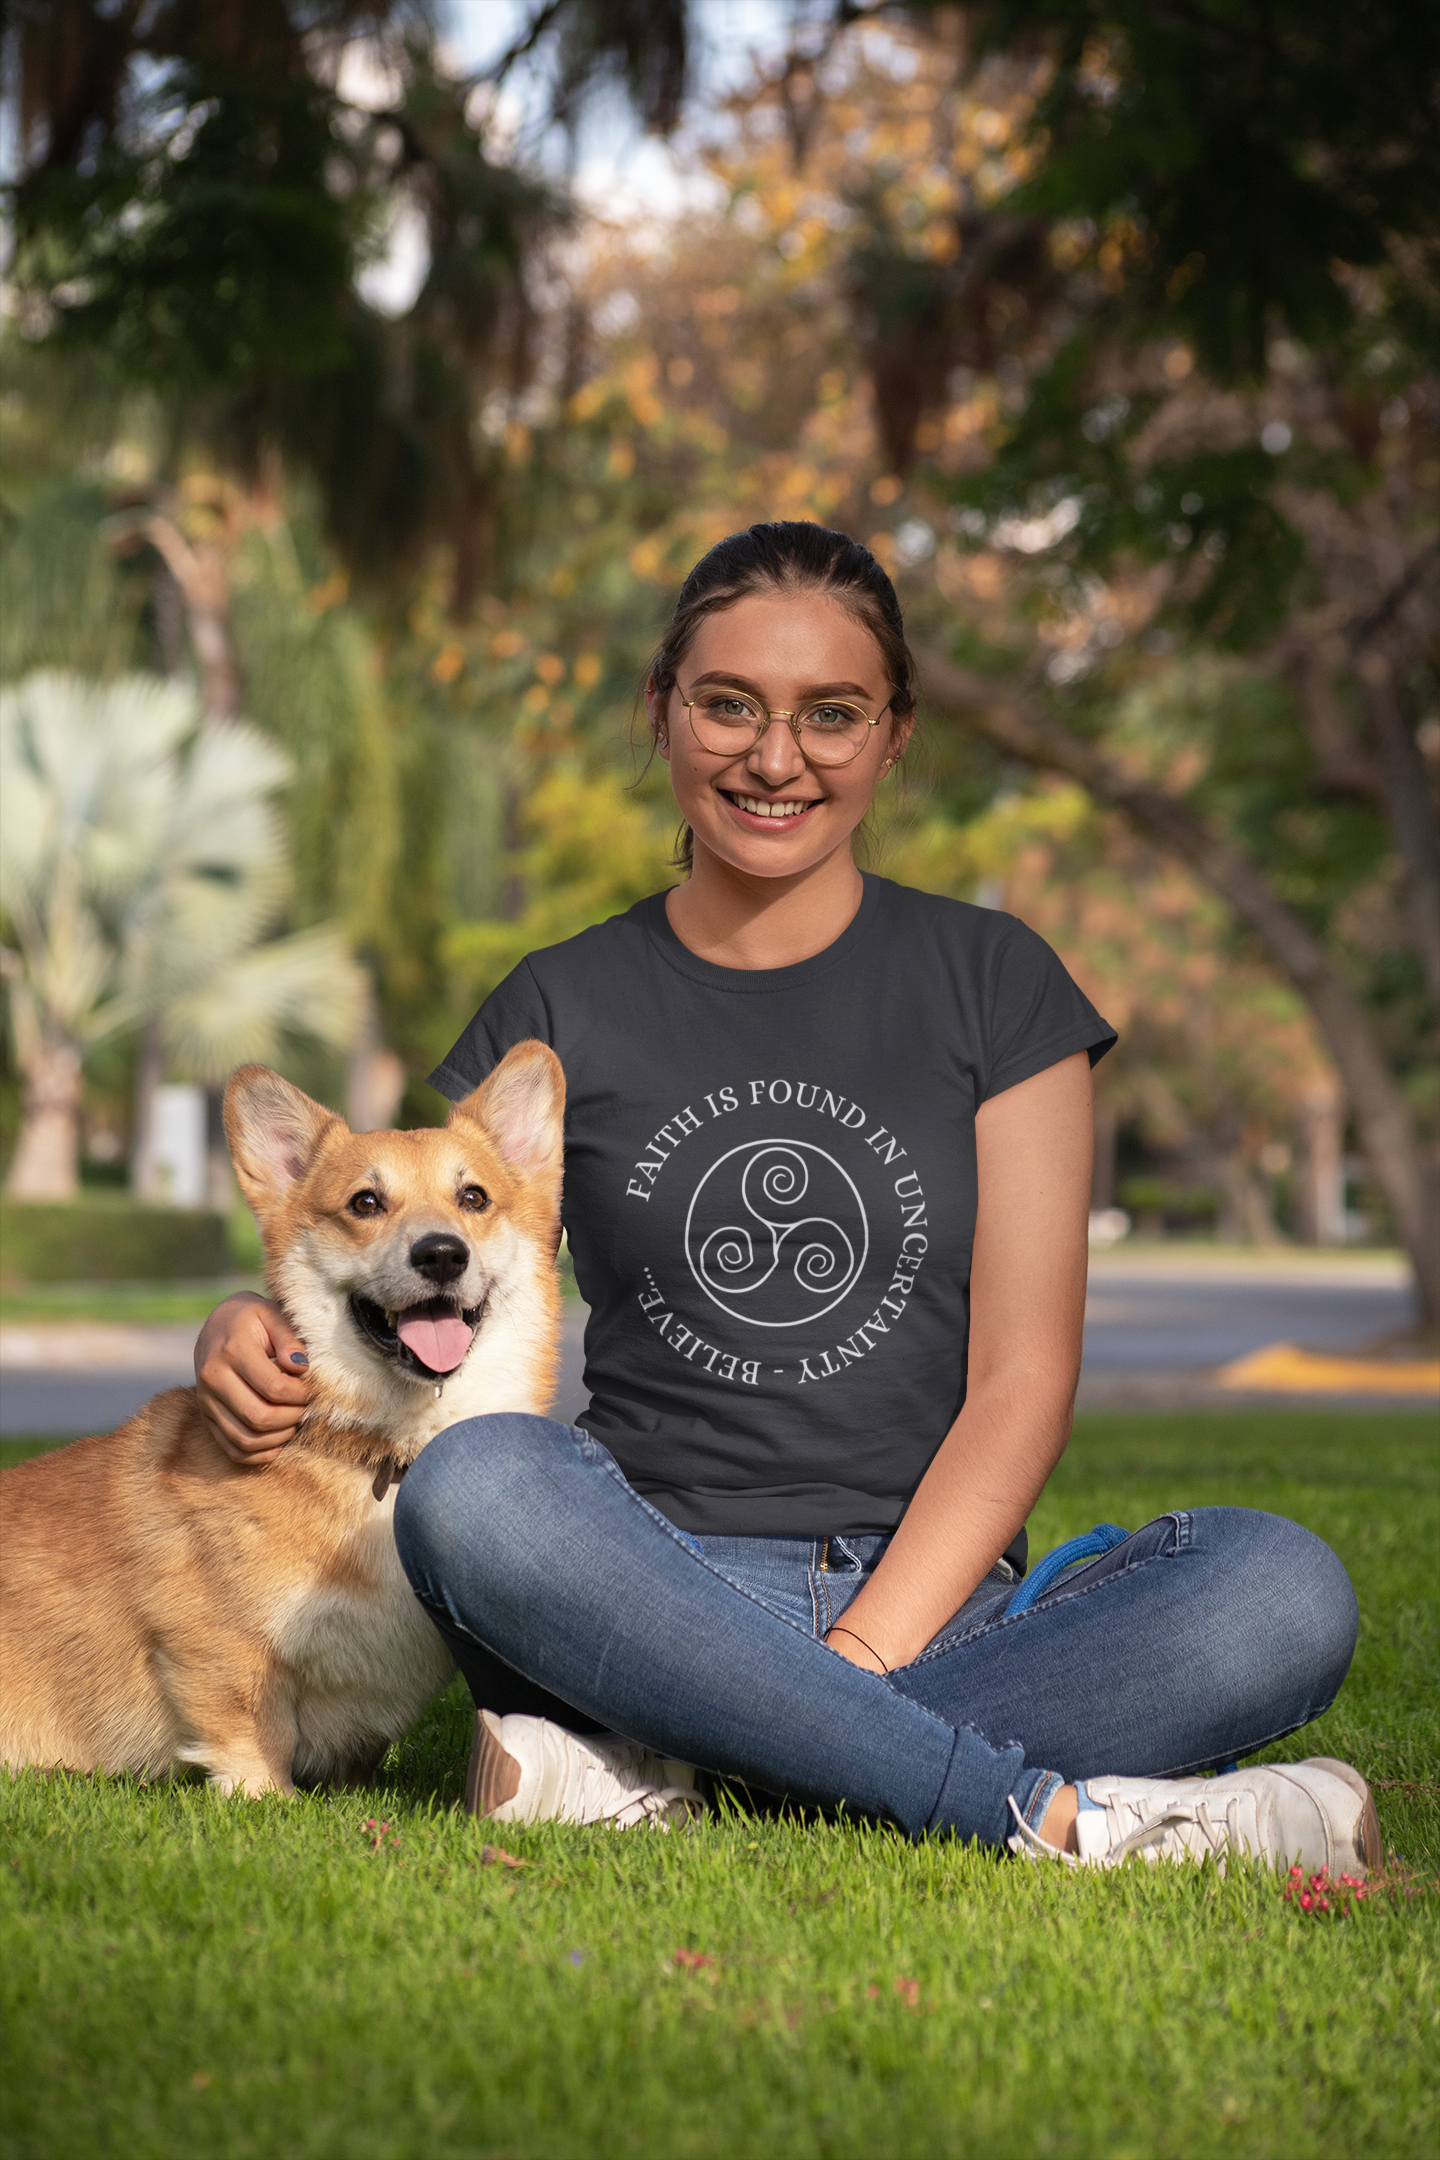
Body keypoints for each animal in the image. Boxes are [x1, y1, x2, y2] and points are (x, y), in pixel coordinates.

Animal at [0, 1036, 561, 1797]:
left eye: (473, 1198)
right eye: (365, 1202)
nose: (442, 1253)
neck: (384, 1449)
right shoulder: (220, 1648)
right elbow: (252, 1730)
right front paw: (266, 1796)